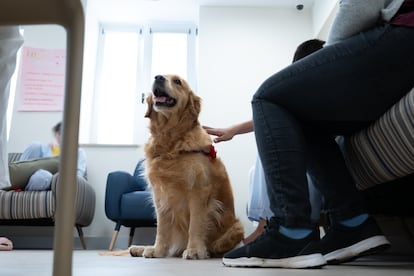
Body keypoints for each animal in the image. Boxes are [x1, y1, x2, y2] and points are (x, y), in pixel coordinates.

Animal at [129, 74, 244, 258]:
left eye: (177, 81)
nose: (158, 77)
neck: (170, 141)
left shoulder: (198, 190)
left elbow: (195, 225)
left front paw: (195, 250)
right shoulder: (160, 195)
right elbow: (162, 229)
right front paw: (158, 250)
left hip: (236, 228)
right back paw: (141, 248)